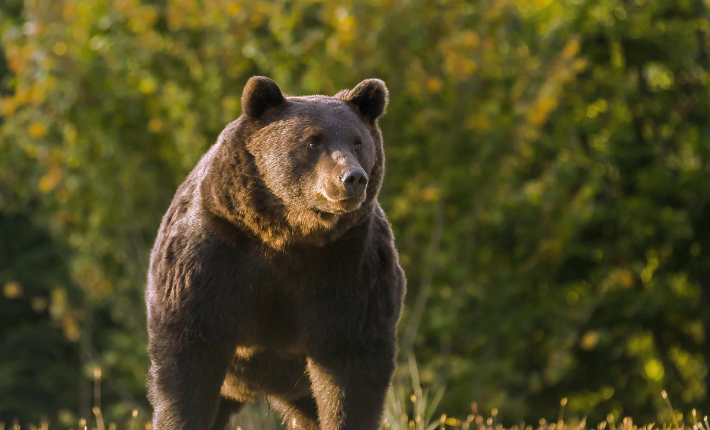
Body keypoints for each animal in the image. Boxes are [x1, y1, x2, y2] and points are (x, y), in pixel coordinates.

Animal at [146, 77, 406, 430]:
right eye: (313, 141)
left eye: (358, 142)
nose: (353, 178)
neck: (287, 234)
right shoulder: (210, 256)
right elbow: (187, 359)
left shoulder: (349, 265)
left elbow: (351, 366)